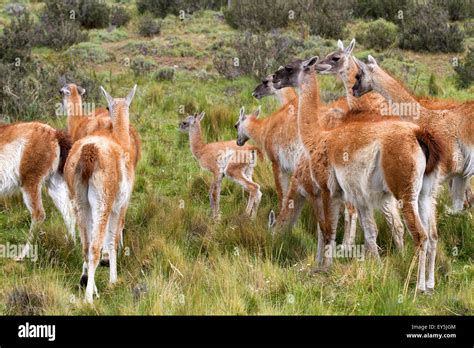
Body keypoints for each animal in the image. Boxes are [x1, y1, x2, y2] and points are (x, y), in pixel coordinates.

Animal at [0, 121, 75, 258]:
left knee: (38, 214)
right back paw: (71, 247)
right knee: (69, 212)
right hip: (54, 182)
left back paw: (22, 255)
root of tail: (54, 133)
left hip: (30, 179)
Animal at [64, 85, 137, 304]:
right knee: (95, 247)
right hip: (102, 202)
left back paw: (88, 284)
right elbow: (112, 240)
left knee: (86, 246)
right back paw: (89, 298)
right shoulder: (120, 206)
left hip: (79, 201)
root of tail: (89, 152)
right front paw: (114, 280)